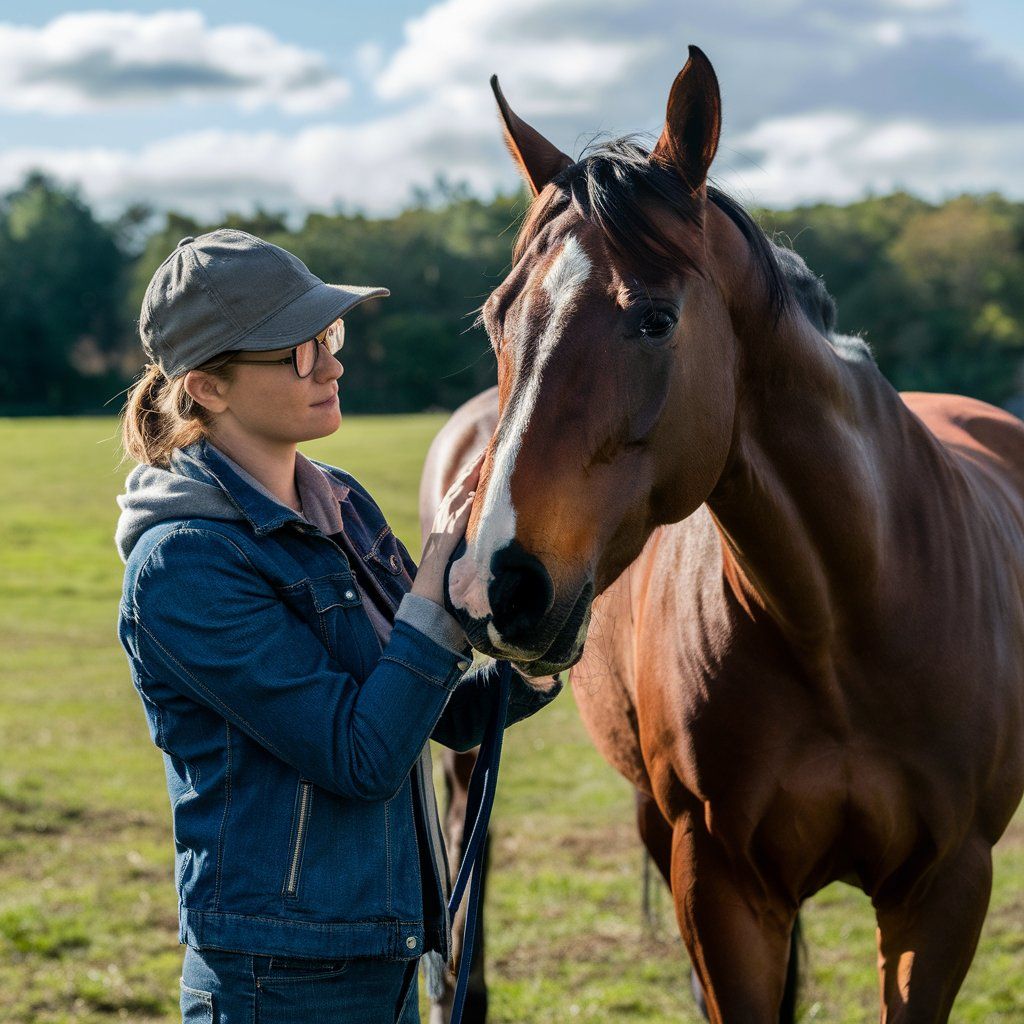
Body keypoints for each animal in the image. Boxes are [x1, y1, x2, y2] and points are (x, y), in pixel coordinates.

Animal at [436, 46, 1024, 1023]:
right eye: (496, 317)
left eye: (656, 318)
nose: (495, 582)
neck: (842, 617)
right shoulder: (721, 886)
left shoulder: (945, 891)